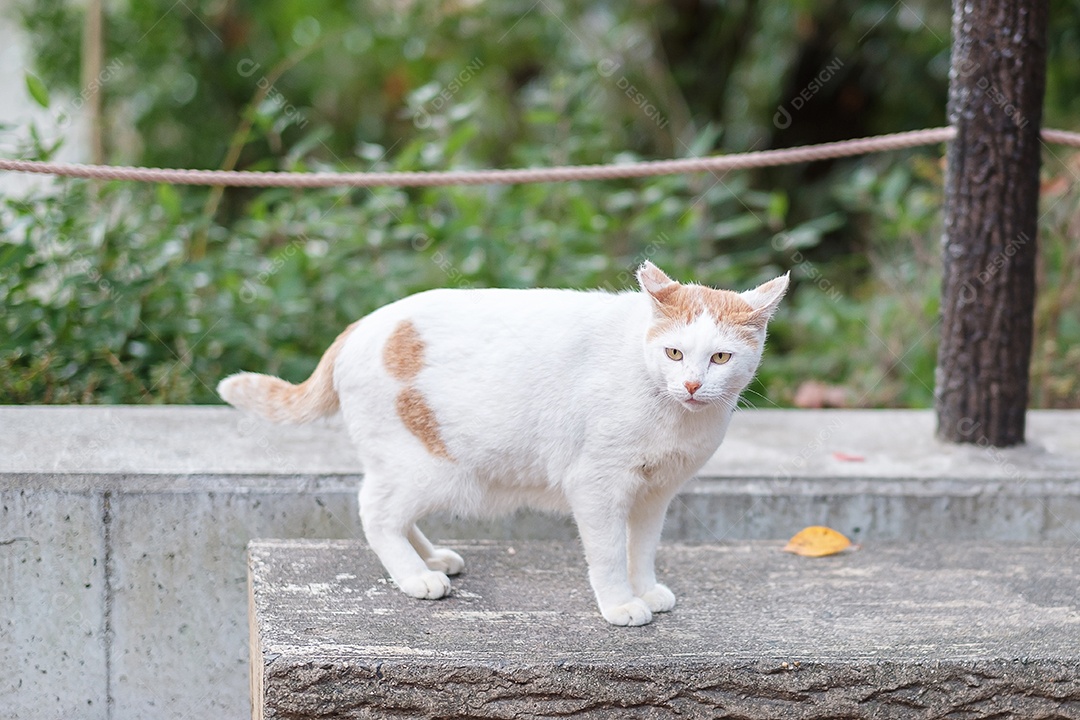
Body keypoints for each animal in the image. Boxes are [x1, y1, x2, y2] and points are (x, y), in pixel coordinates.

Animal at [217, 263, 786, 626]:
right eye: (674, 353)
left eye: (719, 358)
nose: (691, 385)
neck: (672, 412)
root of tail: (362, 326)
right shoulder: (597, 486)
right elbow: (607, 553)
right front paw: (621, 604)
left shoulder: (655, 493)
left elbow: (641, 548)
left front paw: (644, 587)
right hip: (429, 467)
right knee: (374, 511)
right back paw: (415, 576)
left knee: (392, 511)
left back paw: (432, 559)